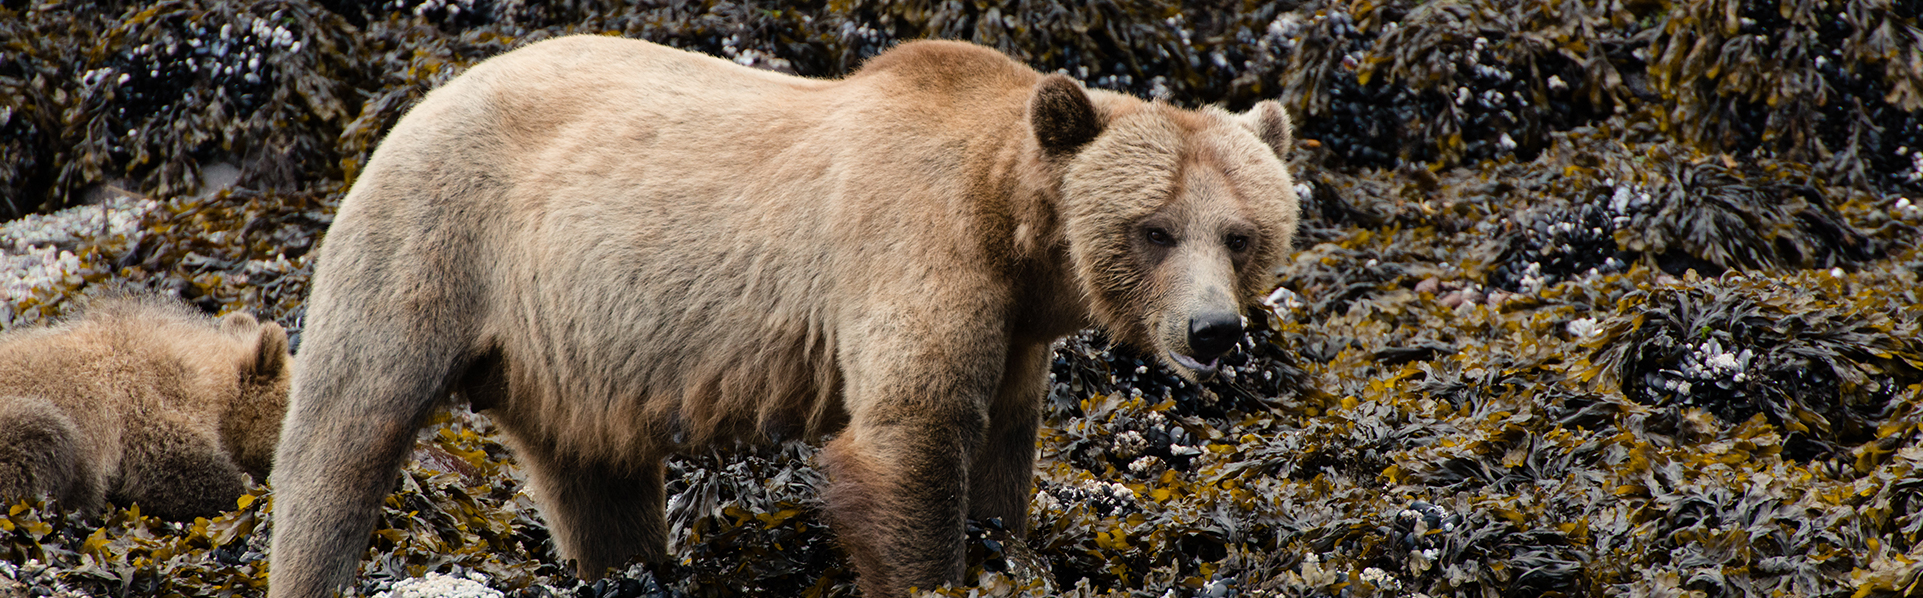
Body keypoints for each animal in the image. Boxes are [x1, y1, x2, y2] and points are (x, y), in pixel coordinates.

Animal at [267, 36, 1292, 598]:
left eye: (1240, 234)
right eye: (1154, 228)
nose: (1212, 331)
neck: (1013, 226)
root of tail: (430, 97)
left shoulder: (1014, 331)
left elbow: (1003, 450)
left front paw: (1005, 547)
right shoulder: (911, 242)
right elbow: (909, 436)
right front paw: (932, 567)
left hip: (569, 348)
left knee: (598, 480)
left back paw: (630, 568)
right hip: (436, 241)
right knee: (345, 432)